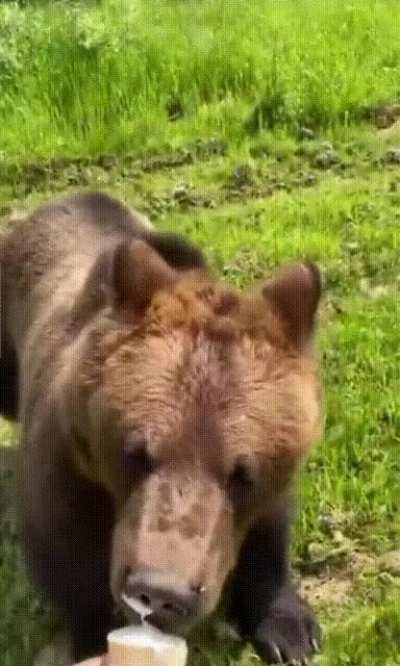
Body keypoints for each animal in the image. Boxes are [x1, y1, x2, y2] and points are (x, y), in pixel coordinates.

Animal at [0, 191, 322, 664]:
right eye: (134, 454)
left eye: (242, 474)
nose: (162, 593)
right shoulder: (65, 468)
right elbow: (68, 562)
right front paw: (96, 636)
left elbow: (267, 534)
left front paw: (290, 632)